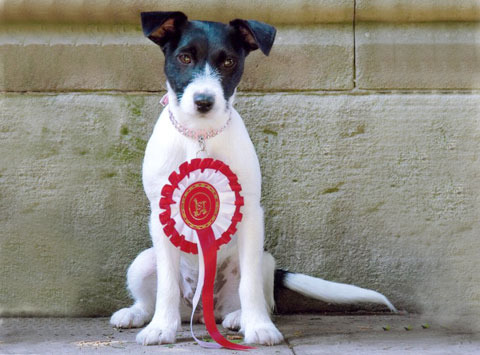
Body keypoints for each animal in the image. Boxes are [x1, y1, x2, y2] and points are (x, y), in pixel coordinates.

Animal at [109, 11, 398, 348]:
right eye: (184, 58)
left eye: (228, 62)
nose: (204, 101)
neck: (200, 136)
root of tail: (200, 312)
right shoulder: (160, 214)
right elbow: (167, 284)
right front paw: (161, 327)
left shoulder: (249, 213)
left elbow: (249, 285)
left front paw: (259, 327)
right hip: (143, 261)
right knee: (149, 297)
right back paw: (136, 314)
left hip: (265, 260)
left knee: (260, 296)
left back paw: (239, 318)